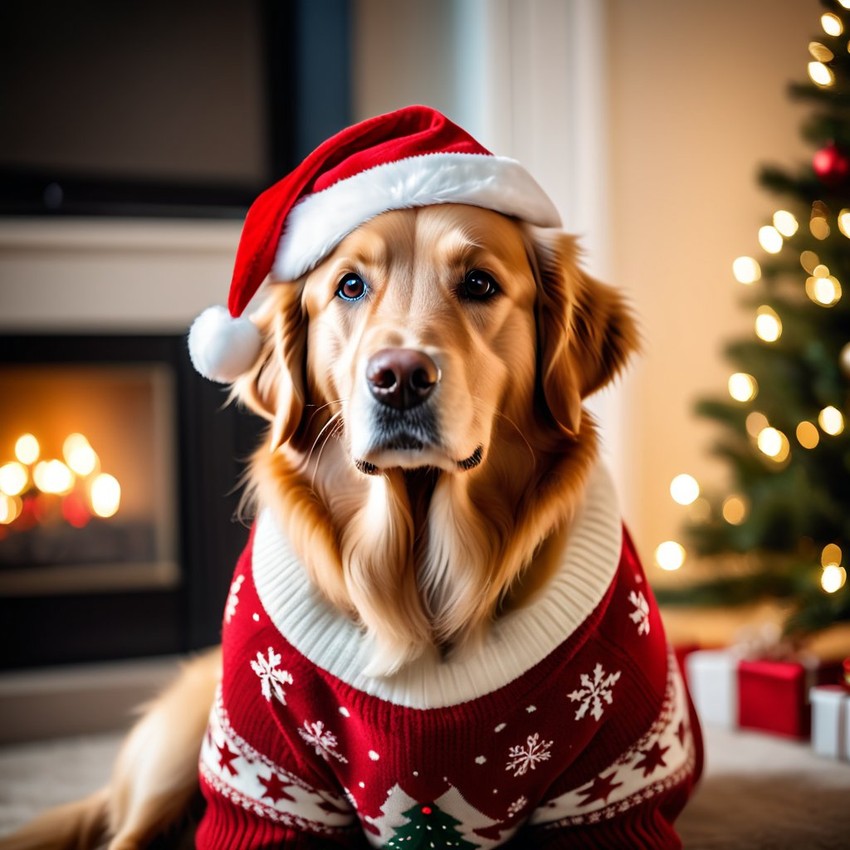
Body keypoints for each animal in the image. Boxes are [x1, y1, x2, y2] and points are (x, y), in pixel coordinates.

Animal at [1, 106, 704, 848]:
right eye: (349, 286)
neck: (421, 577)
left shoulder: (612, 783)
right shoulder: (261, 778)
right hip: (181, 740)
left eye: (480, 284)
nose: (399, 377)